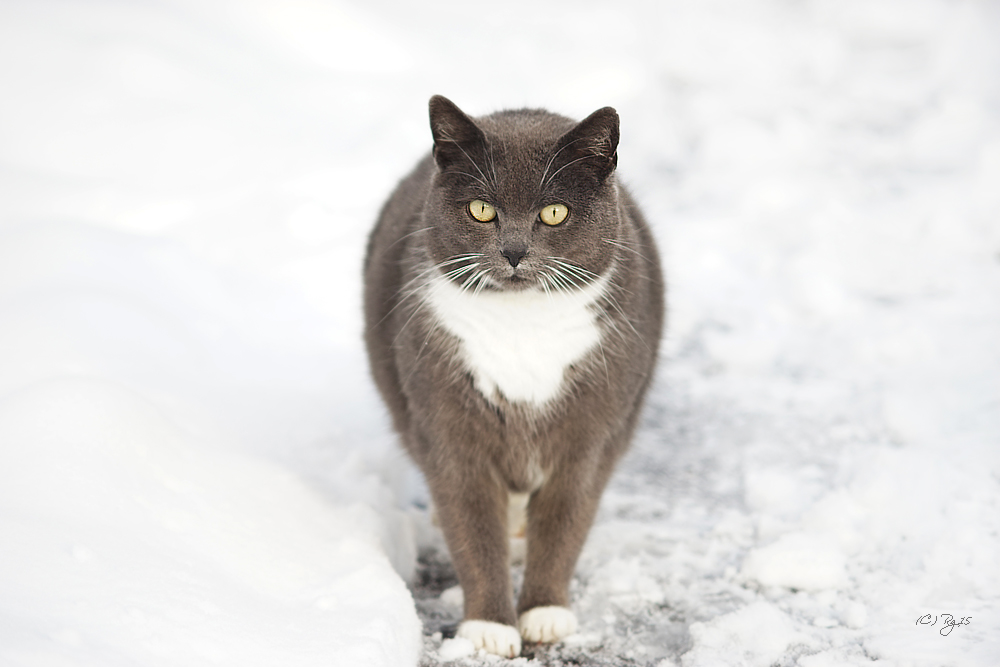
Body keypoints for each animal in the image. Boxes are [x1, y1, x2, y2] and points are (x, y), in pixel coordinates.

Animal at [362, 96, 664, 660]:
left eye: (554, 212)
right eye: (482, 209)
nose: (514, 251)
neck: (523, 328)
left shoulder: (591, 430)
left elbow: (567, 517)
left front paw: (544, 613)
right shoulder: (447, 424)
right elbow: (471, 521)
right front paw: (489, 627)